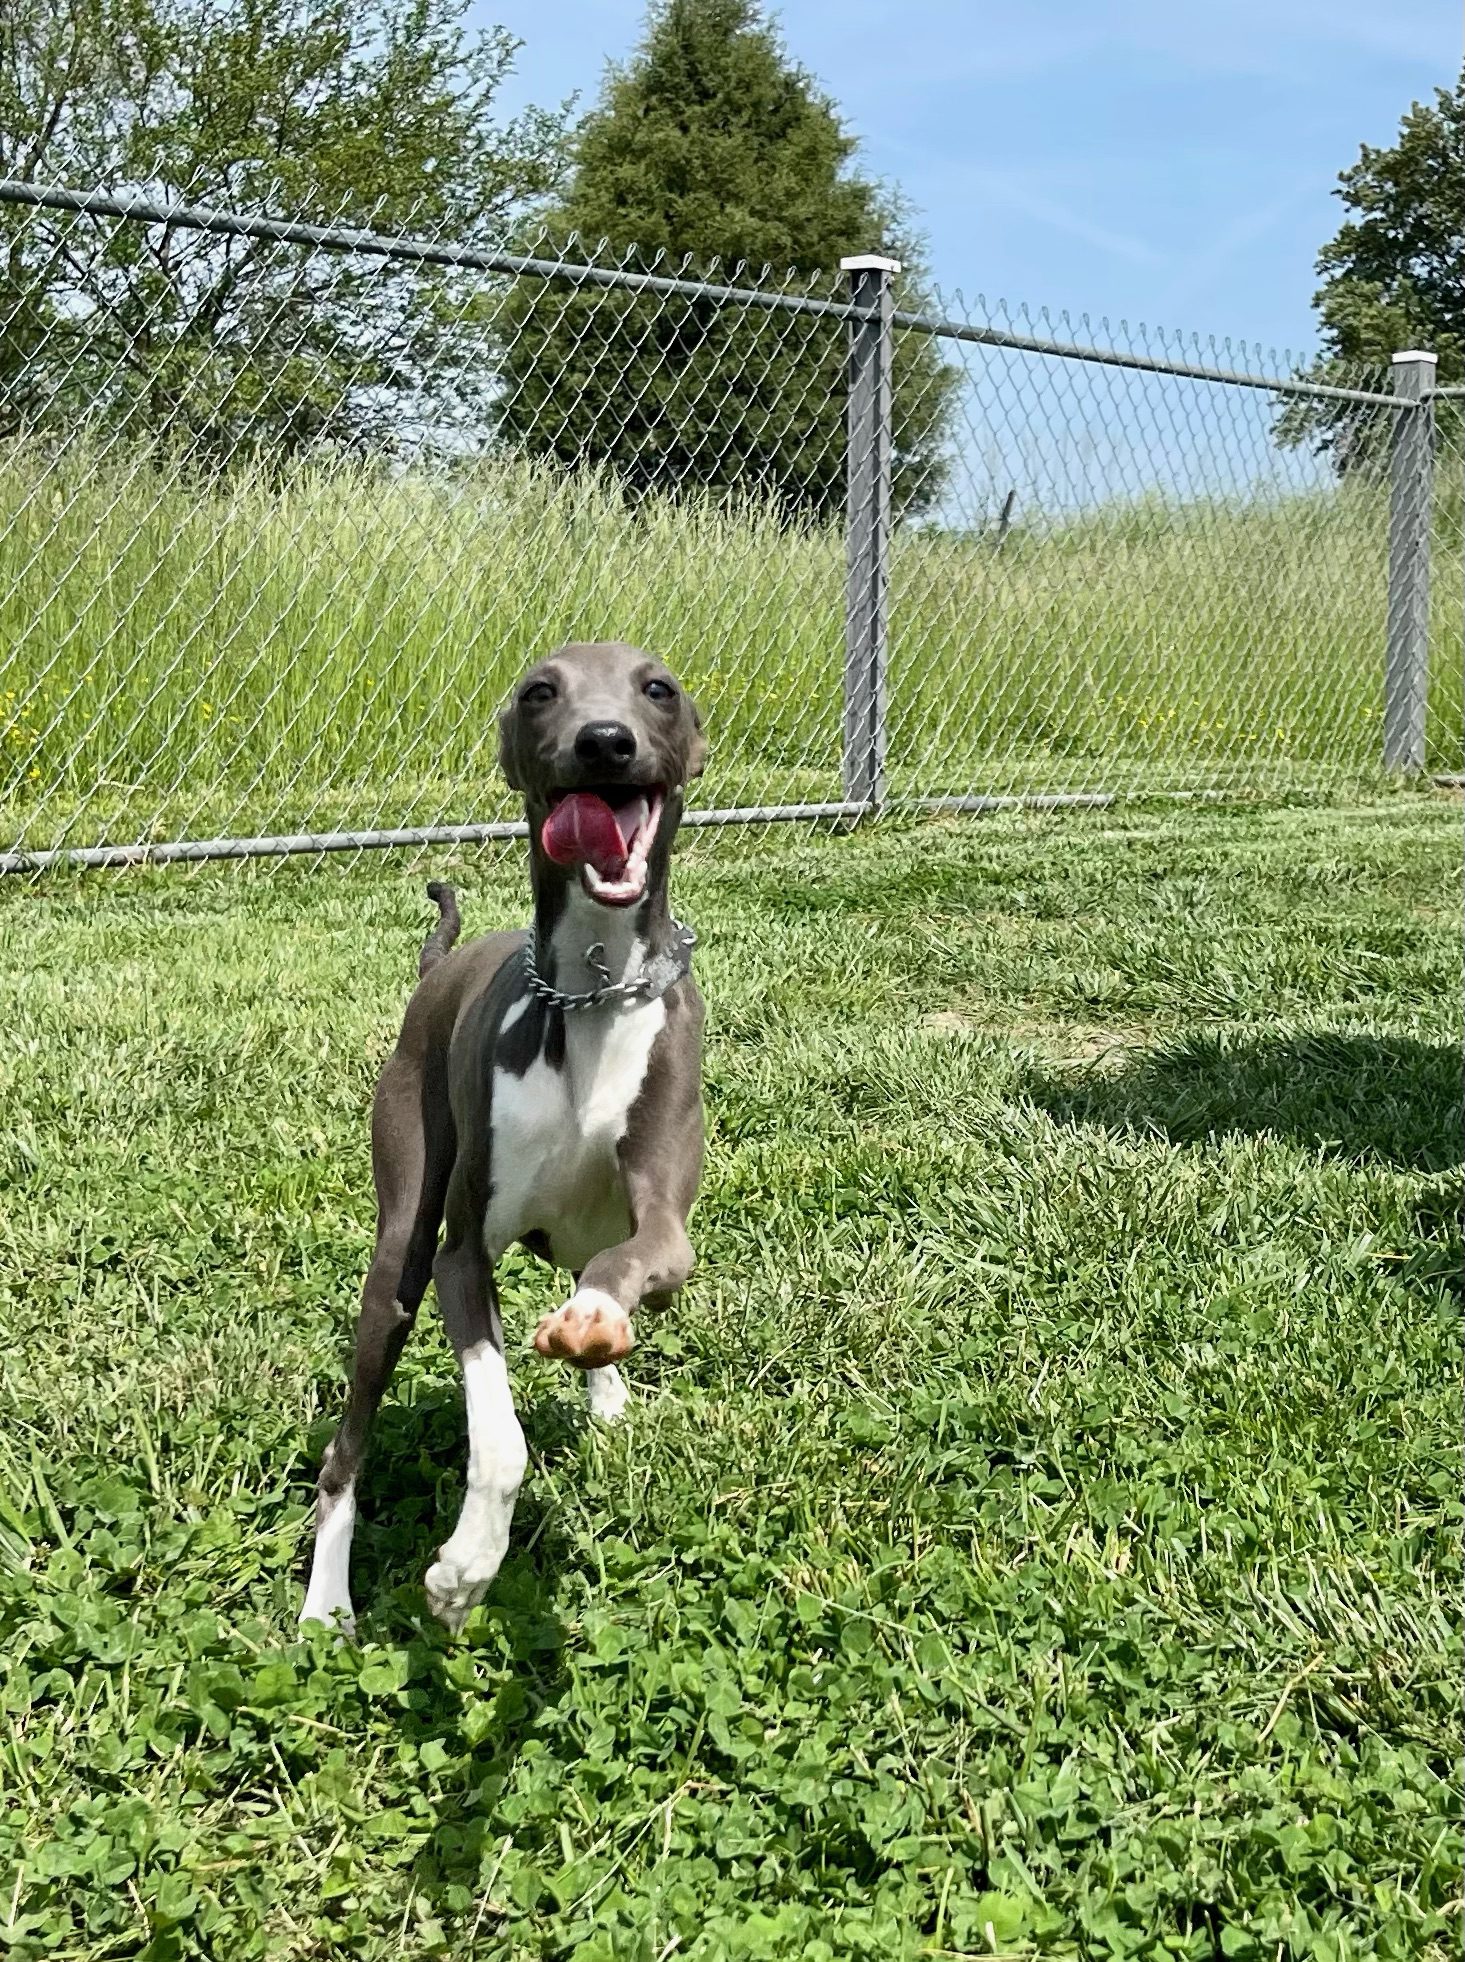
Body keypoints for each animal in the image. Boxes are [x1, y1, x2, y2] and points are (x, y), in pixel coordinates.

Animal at [300, 647, 706, 1640]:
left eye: (658, 688)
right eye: (539, 691)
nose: (604, 743)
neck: (594, 988)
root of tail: (438, 964)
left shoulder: (663, 1221)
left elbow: (634, 1260)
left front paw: (595, 1327)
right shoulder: (459, 1258)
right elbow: (501, 1438)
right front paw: (464, 1571)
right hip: (397, 1245)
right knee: (342, 1457)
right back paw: (326, 1605)